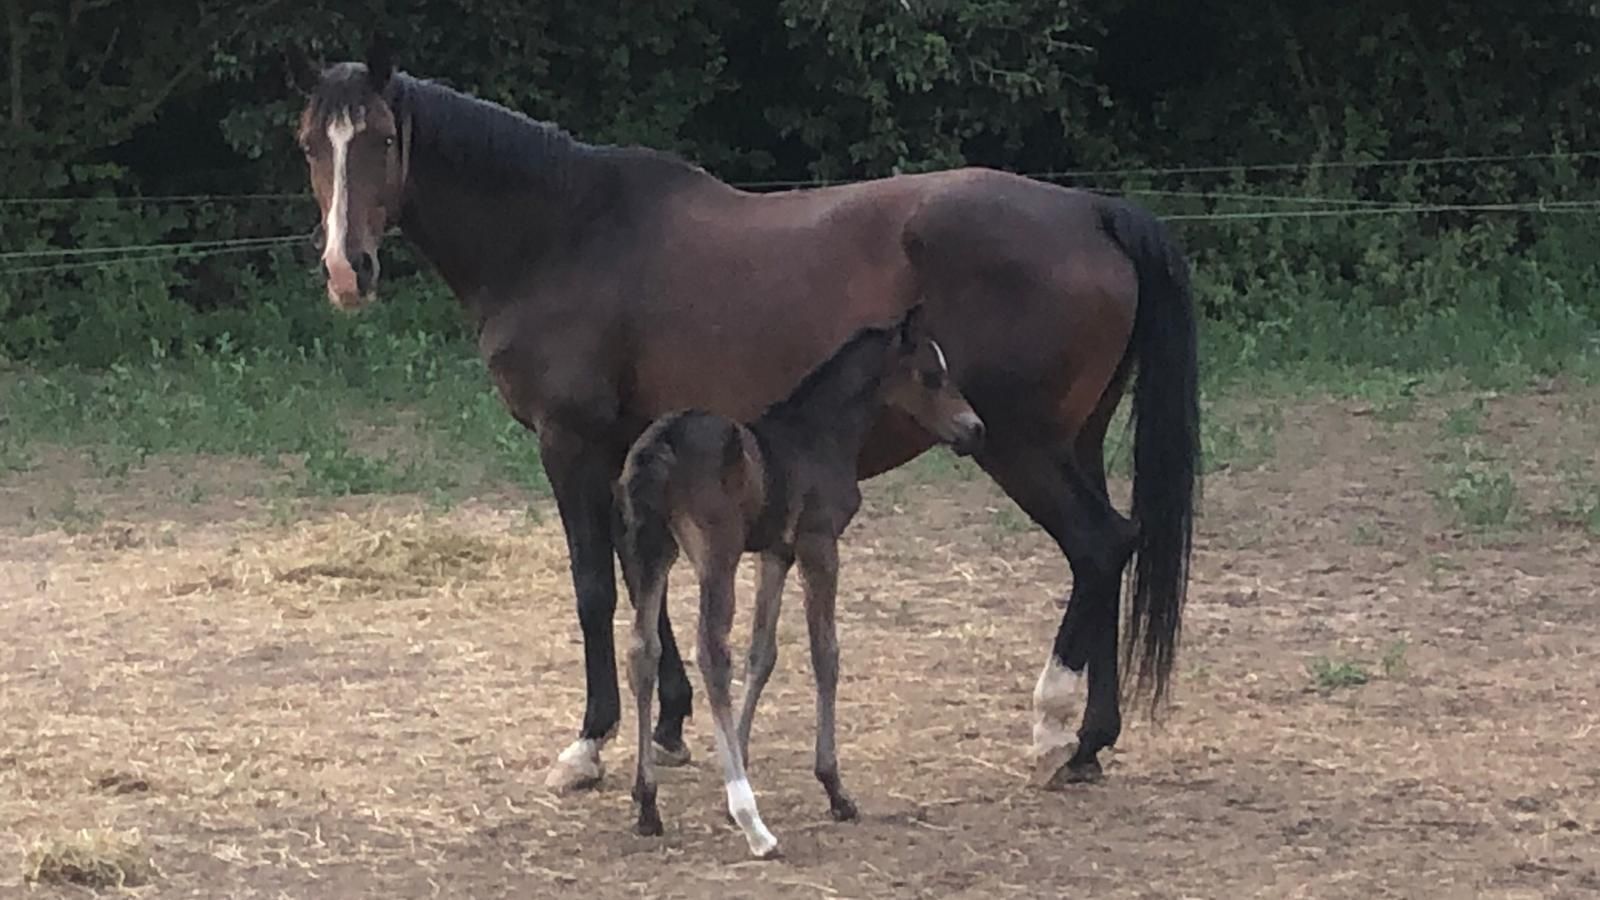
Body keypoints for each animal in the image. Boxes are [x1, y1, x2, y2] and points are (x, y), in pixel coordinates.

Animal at [291, 43, 1199, 797]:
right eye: (309, 145)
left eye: (380, 140)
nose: (346, 269)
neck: (563, 235)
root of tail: (1093, 210)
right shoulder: (630, 453)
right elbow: (642, 581)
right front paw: (669, 723)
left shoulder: (570, 446)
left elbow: (594, 587)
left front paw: (590, 744)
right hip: (1076, 442)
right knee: (1114, 548)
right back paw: (1090, 742)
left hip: (1018, 447)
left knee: (1097, 546)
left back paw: (1052, 728)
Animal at [616, 304, 984, 858]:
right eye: (930, 375)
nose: (973, 428)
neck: (819, 434)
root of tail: (659, 446)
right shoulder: (818, 544)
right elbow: (825, 654)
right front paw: (834, 789)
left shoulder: (776, 553)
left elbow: (761, 653)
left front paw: (738, 761)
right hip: (715, 556)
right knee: (711, 655)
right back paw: (755, 825)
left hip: (652, 551)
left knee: (643, 651)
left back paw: (647, 804)